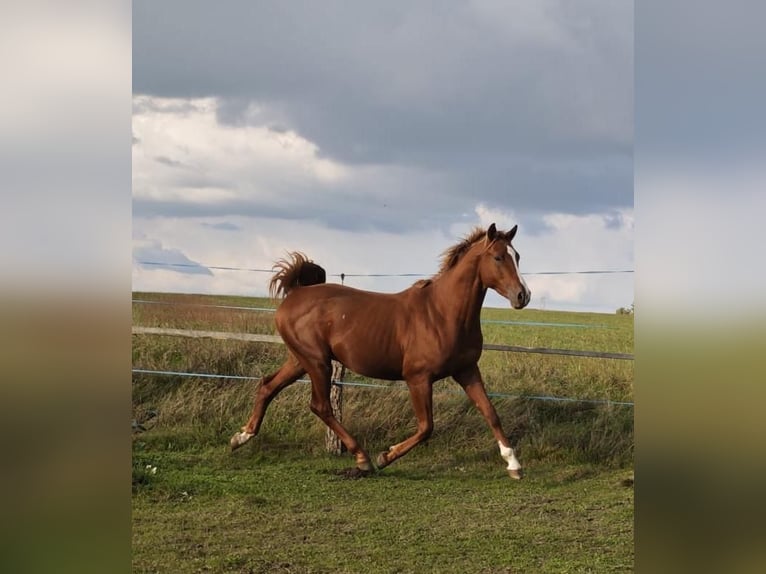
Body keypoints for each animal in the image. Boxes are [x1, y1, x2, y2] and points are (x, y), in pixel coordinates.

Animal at [231, 223, 531, 479]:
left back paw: (240, 437)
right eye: (498, 258)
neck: (443, 313)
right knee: (321, 406)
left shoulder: (466, 370)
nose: (523, 296)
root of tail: (294, 294)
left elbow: (490, 413)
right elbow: (426, 427)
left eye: (517, 256)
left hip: (301, 360)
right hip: (317, 362)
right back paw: (363, 459)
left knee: (268, 386)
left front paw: (514, 464)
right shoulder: (418, 378)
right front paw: (386, 456)